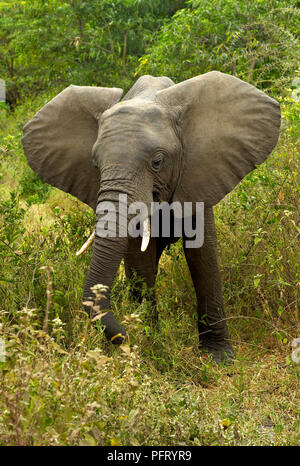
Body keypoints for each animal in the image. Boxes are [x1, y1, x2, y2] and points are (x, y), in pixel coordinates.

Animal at [22, 73, 280, 364]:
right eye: (95, 165)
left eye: (158, 162)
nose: (122, 337)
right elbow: (140, 259)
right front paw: (149, 342)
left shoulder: (200, 174)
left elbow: (202, 255)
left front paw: (219, 357)